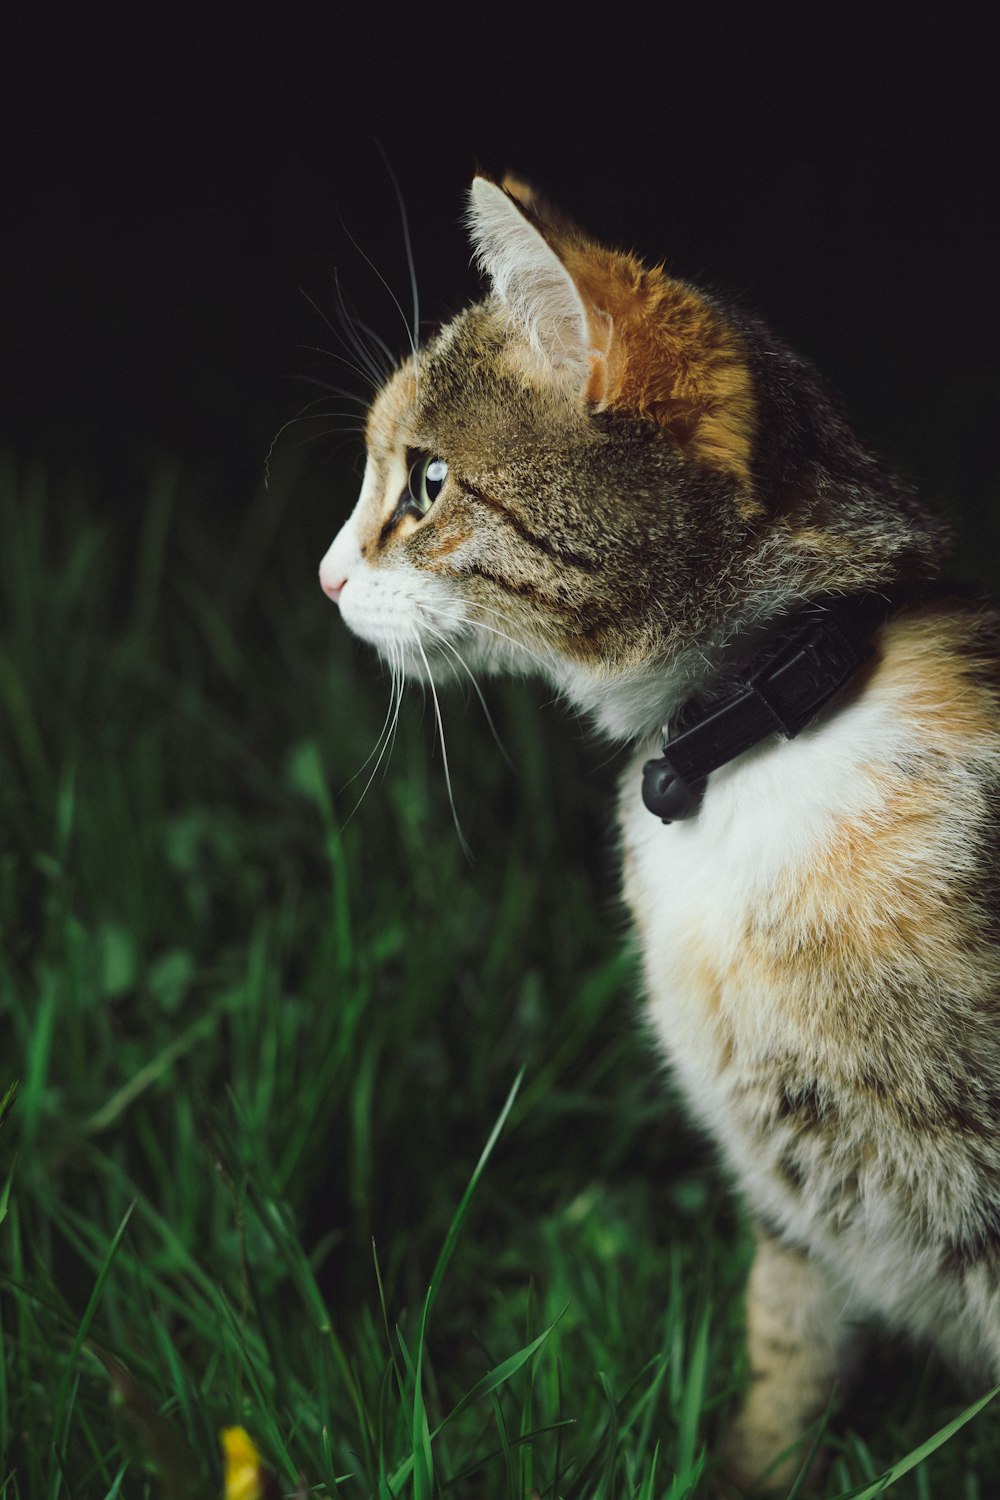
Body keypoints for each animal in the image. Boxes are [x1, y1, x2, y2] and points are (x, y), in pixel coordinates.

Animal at [319, 172, 1000, 1488]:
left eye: (427, 484)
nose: (323, 579)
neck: (763, 726)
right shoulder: (797, 1214)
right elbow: (783, 1354)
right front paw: (747, 1465)